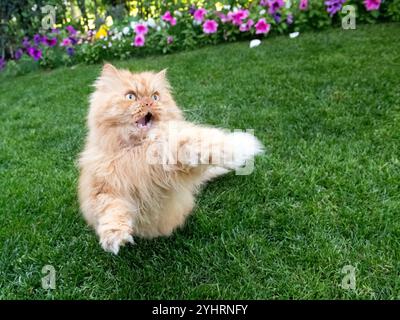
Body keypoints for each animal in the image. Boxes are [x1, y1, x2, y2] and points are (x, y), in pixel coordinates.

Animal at [79, 63, 264, 254]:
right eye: (131, 96)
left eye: (155, 96)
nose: (149, 102)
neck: (138, 149)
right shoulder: (104, 188)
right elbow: (111, 212)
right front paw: (114, 238)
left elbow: (194, 145)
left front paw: (231, 148)